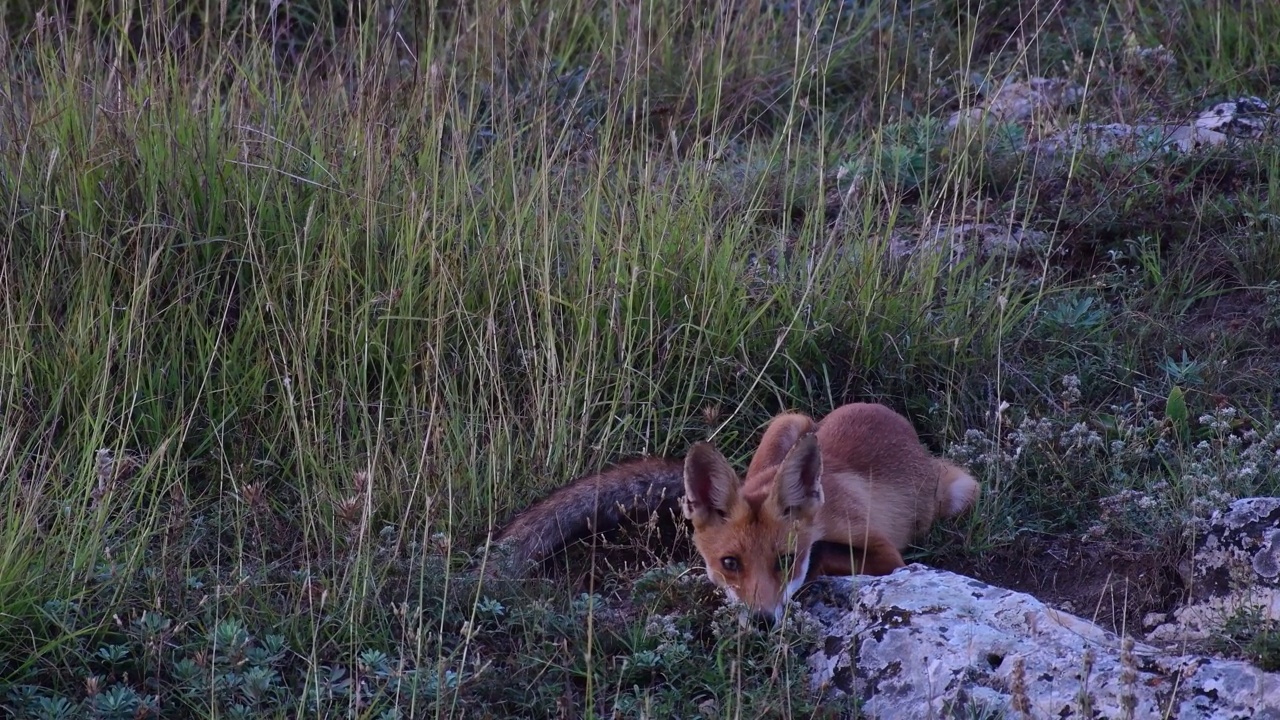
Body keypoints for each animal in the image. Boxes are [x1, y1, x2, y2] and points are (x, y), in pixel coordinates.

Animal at [491, 399, 977, 620]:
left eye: (785, 560)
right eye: (730, 563)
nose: (761, 622)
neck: (821, 515)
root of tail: (892, 415)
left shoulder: (886, 555)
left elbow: (822, 554)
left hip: (962, 491)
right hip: (789, 421)